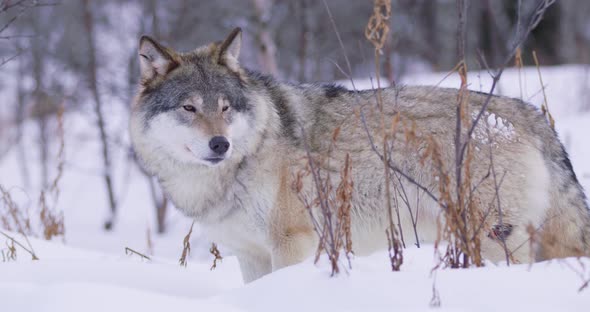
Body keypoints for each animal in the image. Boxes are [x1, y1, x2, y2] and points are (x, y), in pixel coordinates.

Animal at [132, 28, 590, 282]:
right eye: (189, 108)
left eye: (225, 107)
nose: (220, 144)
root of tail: (529, 115)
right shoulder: (251, 255)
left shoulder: (293, 243)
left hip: (490, 240)